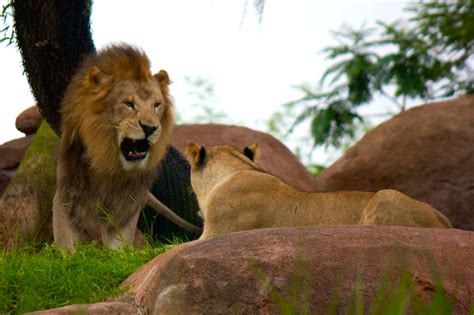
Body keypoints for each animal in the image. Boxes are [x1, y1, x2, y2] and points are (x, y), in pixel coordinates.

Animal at [53, 44, 200, 251]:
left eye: (156, 105)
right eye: (128, 104)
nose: (150, 128)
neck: (109, 163)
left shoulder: (127, 201)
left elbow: (119, 242)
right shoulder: (68, 190)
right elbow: (66, 240)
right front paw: (68, 255)